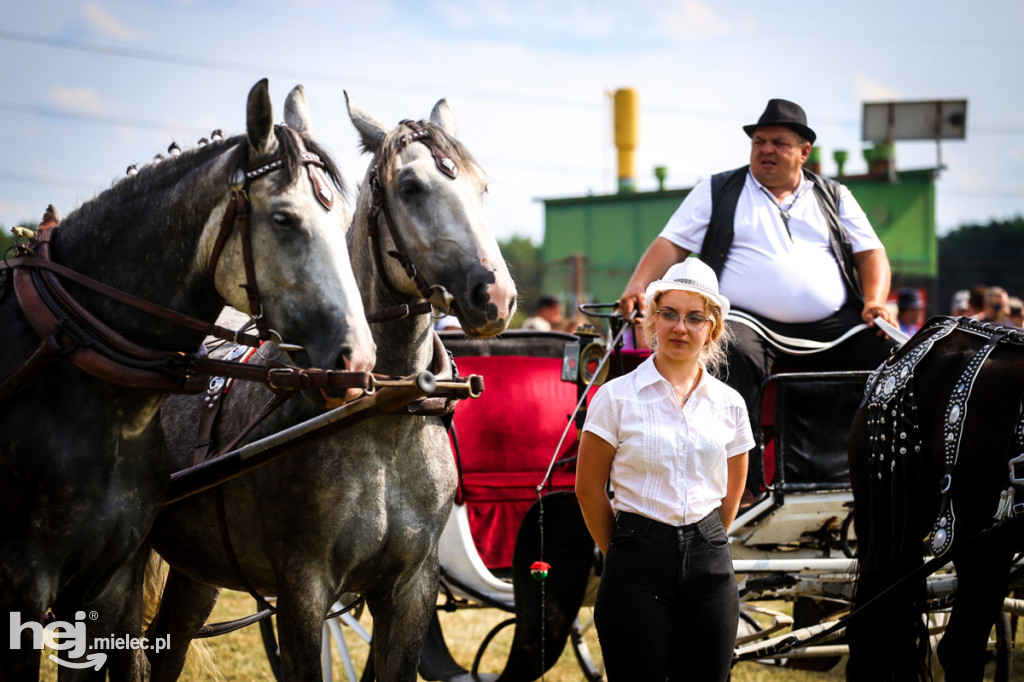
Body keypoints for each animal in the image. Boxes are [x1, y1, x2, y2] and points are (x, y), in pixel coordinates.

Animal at [147, 93, 516, 675]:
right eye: (410, 187)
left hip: (197, 567)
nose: (495, 296)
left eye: (481, 188)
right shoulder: (303, 590)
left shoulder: (412, 590)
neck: (384, 408)